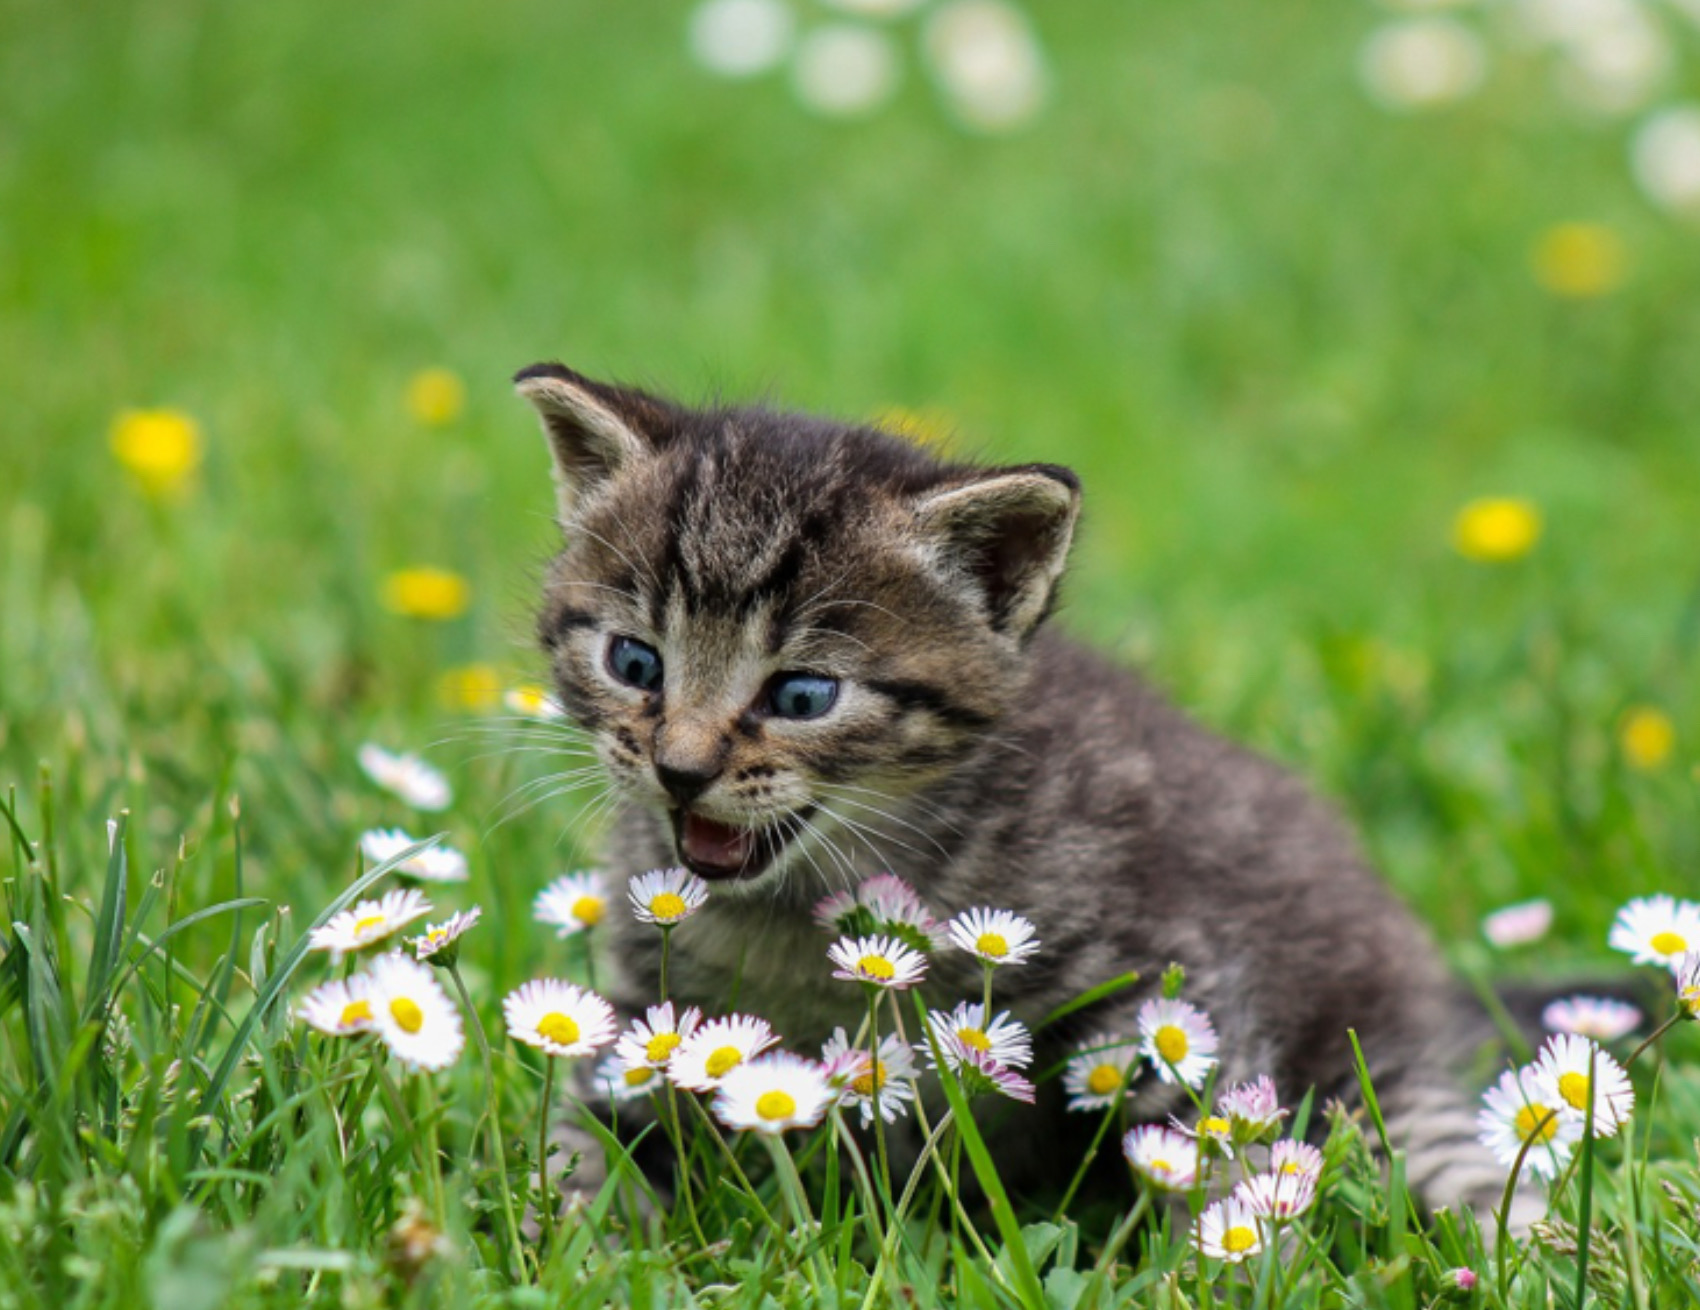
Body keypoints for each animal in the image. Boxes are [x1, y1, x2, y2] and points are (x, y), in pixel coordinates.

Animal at [513, 361, 1516, 1216]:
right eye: (635, 662)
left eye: (802, 696)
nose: (680, 768)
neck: (796, 913)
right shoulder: (648, 1017)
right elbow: (580, 1139)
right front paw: (579, 1224)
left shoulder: (1172, 979)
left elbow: (1209, 1143)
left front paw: (1220, 1259)